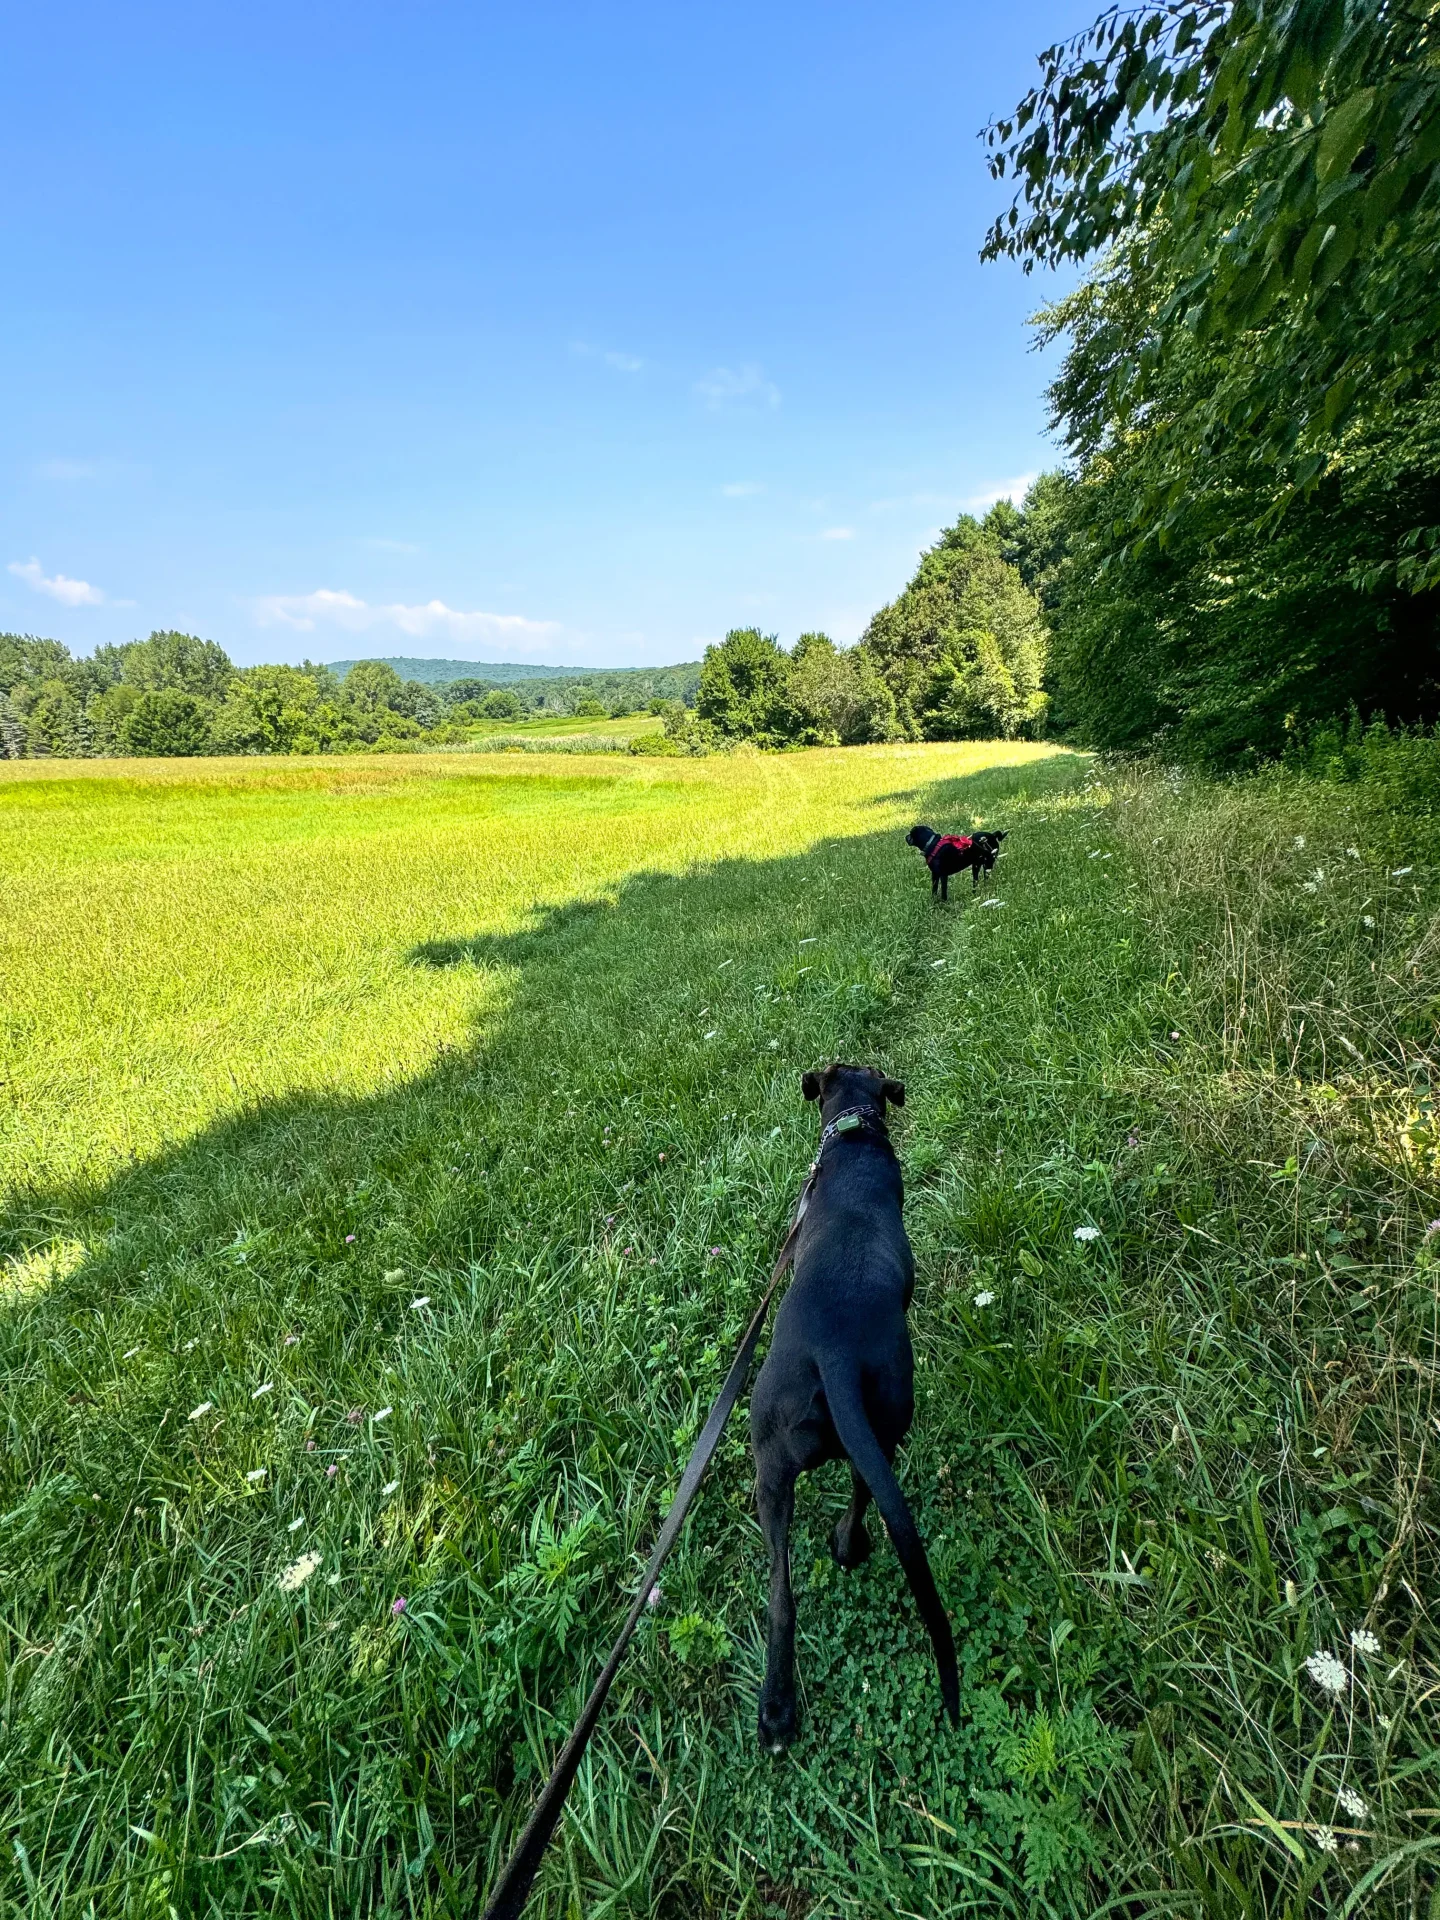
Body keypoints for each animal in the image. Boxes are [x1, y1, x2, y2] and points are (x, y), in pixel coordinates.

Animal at [748, 1067, 963, 1758]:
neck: (853, 1134)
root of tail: (834, 1352)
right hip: (881, 1422)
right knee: (857, 1501)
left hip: (773, 1460)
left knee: (784, 1589)